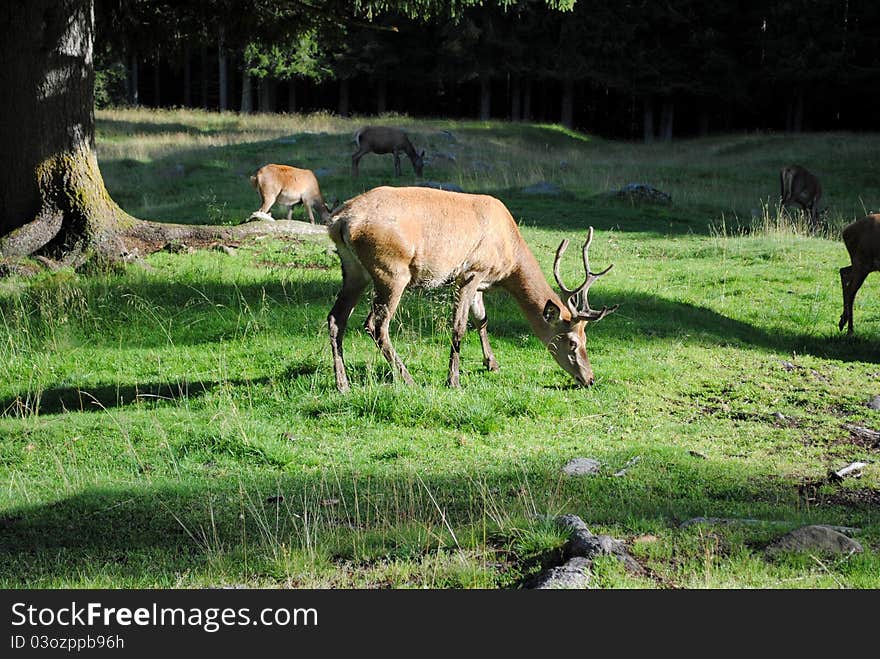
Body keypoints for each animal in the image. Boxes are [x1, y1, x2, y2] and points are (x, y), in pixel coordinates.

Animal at [324, 184, 620, 392]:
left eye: (586, 339)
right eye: (572, 341)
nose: (589, 379)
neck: (510, 257)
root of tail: (340, 220)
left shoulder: (480, 282)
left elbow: (481, 319)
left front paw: (492, 364)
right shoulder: (470, 272)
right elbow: (459, 326)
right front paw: (453, 380)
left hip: (353, 270)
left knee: (336, 318)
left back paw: (343, 384)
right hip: (392, 271)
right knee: (376, 324)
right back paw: (408, 379)